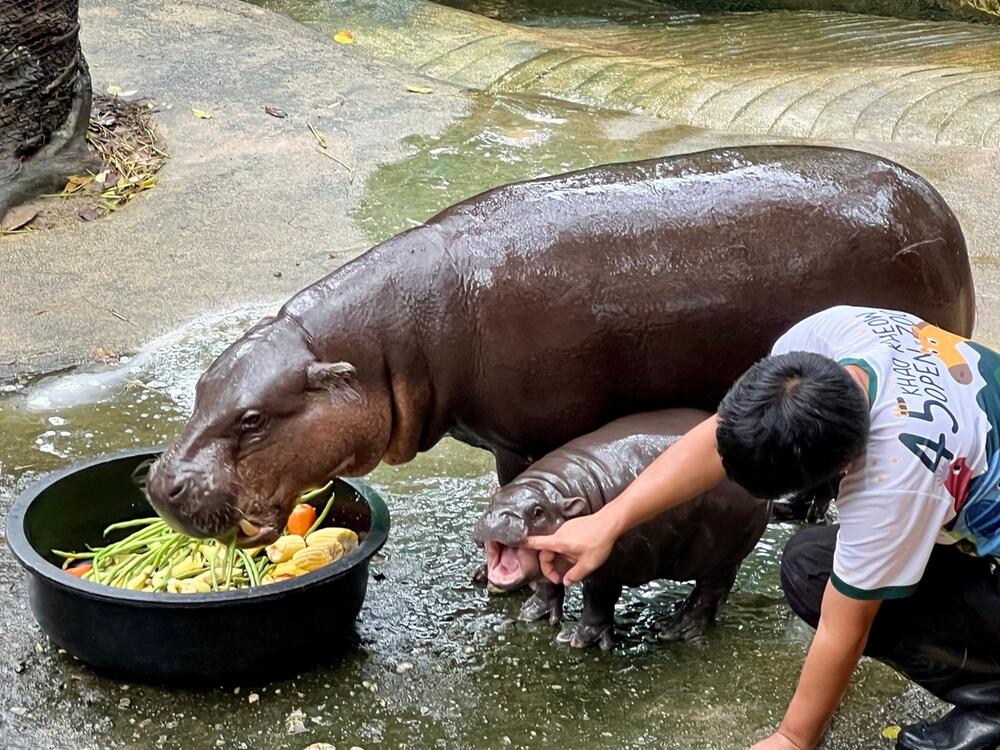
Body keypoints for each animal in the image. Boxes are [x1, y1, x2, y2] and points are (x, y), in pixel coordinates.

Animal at [145, 147, 972, 548]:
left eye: (254, 419)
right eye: (202, 387)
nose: (159, 485)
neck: (382, 343)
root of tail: (942, 215)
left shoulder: (528, 435)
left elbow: (517, 486)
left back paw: (801, 512)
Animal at [472, 408, 768, 648]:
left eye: (537, 512)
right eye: (492, 501)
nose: (496, 519)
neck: (557, 488)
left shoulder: (607, 568)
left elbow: (597, 602)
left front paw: (577, 639)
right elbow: (546, 582)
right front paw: (531, 613)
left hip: (724, 554)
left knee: (710, 591)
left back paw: (673, 629)